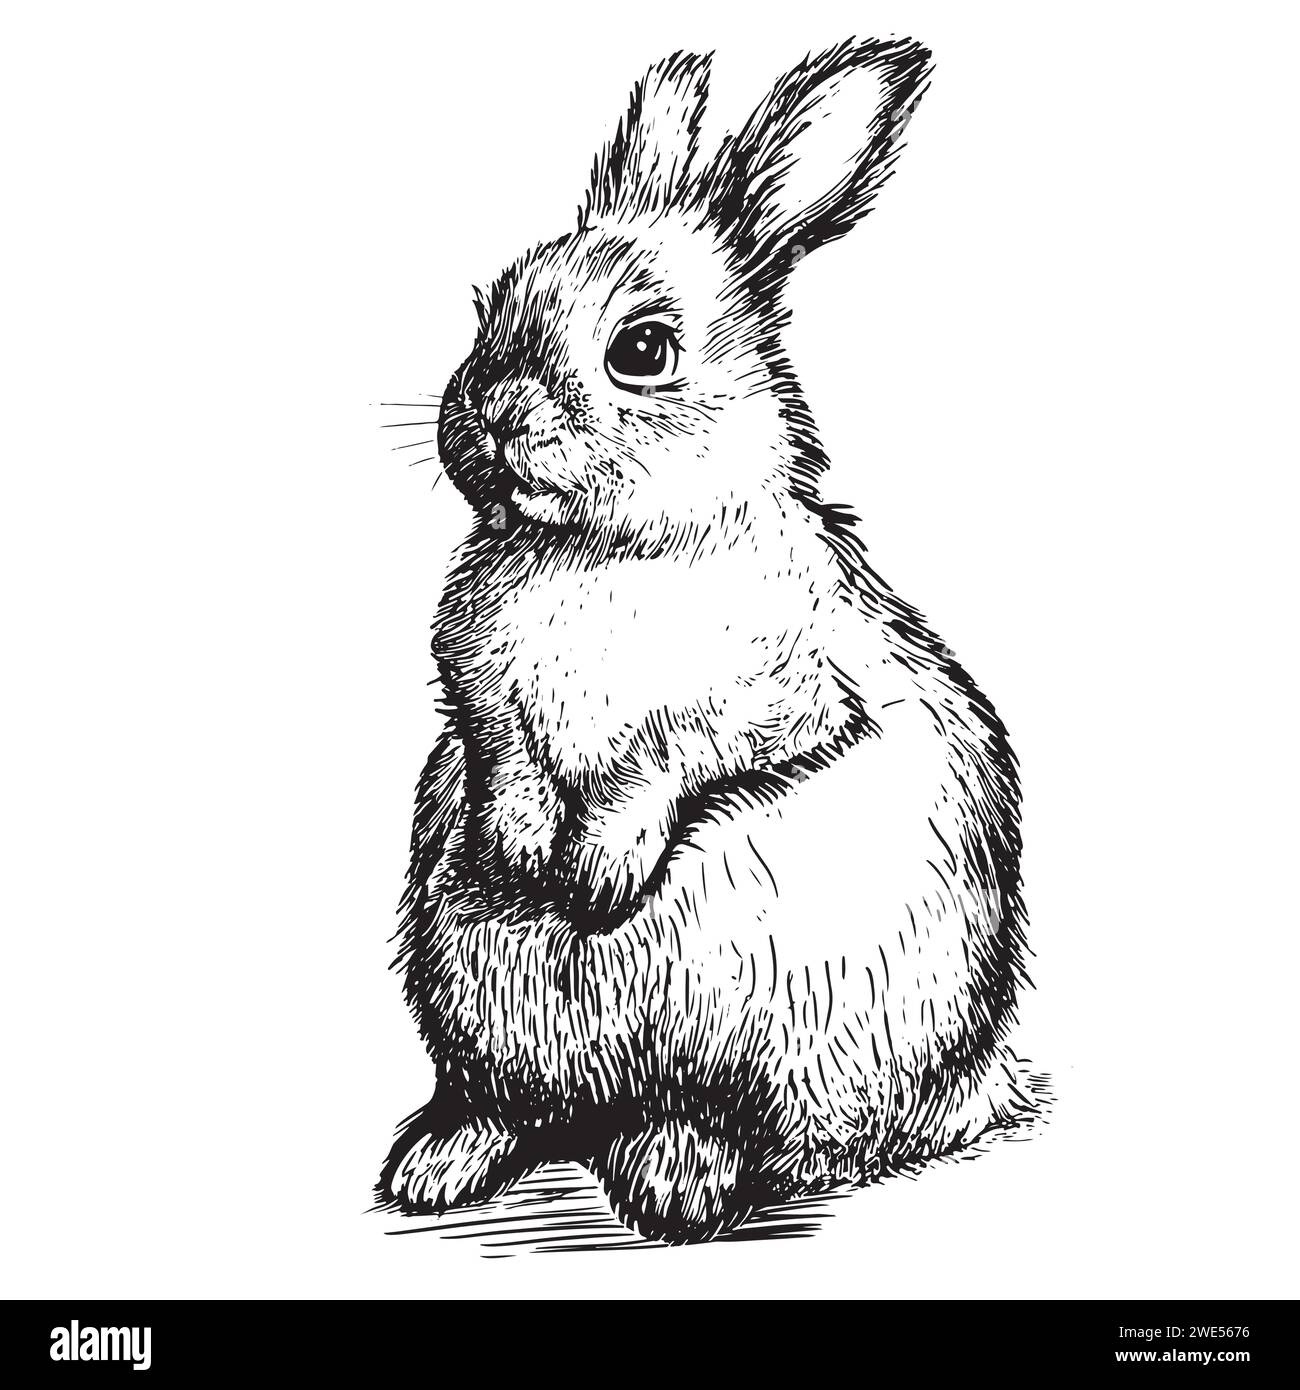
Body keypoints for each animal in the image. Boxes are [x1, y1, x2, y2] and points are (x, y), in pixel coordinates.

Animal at [378, 37, 1039, 1244]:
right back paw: (437, 1163)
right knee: (515, 1105)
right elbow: (507, 761)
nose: (490, 414)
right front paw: (519, 850)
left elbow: (665, 763)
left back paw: (674, 1178)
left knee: (749, 1133)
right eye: (491, 305)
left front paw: (594, 875)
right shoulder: (481, 708)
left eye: (642, 349)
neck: (603, 545)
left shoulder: (777, 697)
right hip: (473, 997)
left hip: (790, 1040)